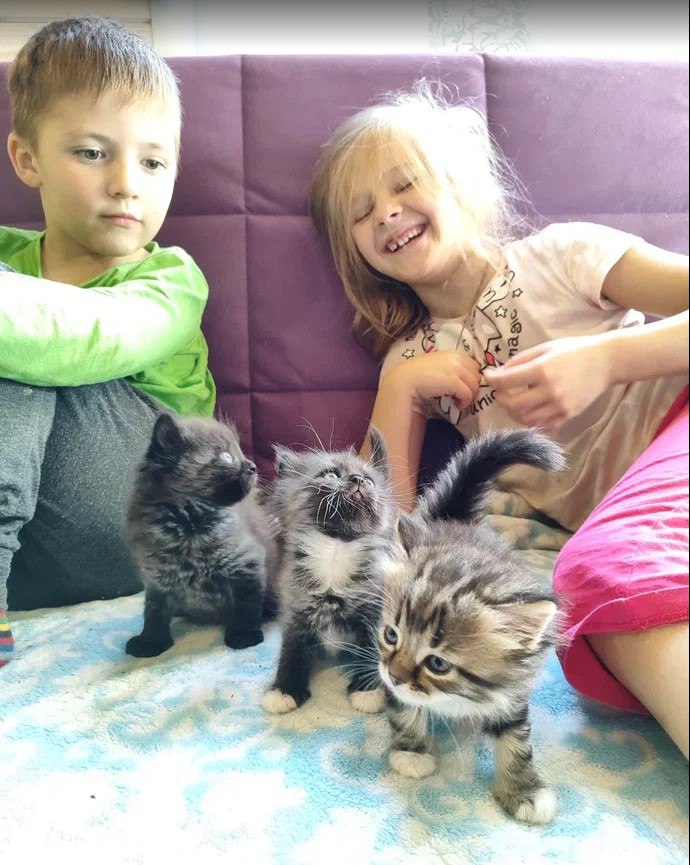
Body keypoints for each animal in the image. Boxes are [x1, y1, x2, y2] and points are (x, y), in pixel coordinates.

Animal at [125, 412, 278, 658]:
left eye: (241, 453)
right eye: (227, 457)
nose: (253, 466)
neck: (189, 529)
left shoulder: (247, 563)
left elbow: (247, 605)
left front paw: (244, 635)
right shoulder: (158, 577)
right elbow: (154, 612)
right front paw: (150, 641)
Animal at [261, 427, 396, 716]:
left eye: (369, 481)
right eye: (331, 474)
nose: (358, 480)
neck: (336, 550)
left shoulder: (375, 608)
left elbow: (371, 646)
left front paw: (367, 690)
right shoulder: (295, 606)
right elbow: (291, 647)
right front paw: (284, 689)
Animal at [377, 428, 566, 825]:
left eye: (438, 663)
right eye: (391, 635)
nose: (395, 677)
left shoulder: (512, 693)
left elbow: (516, 741)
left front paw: (524, 790)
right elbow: (403, 708)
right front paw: (411, 751)